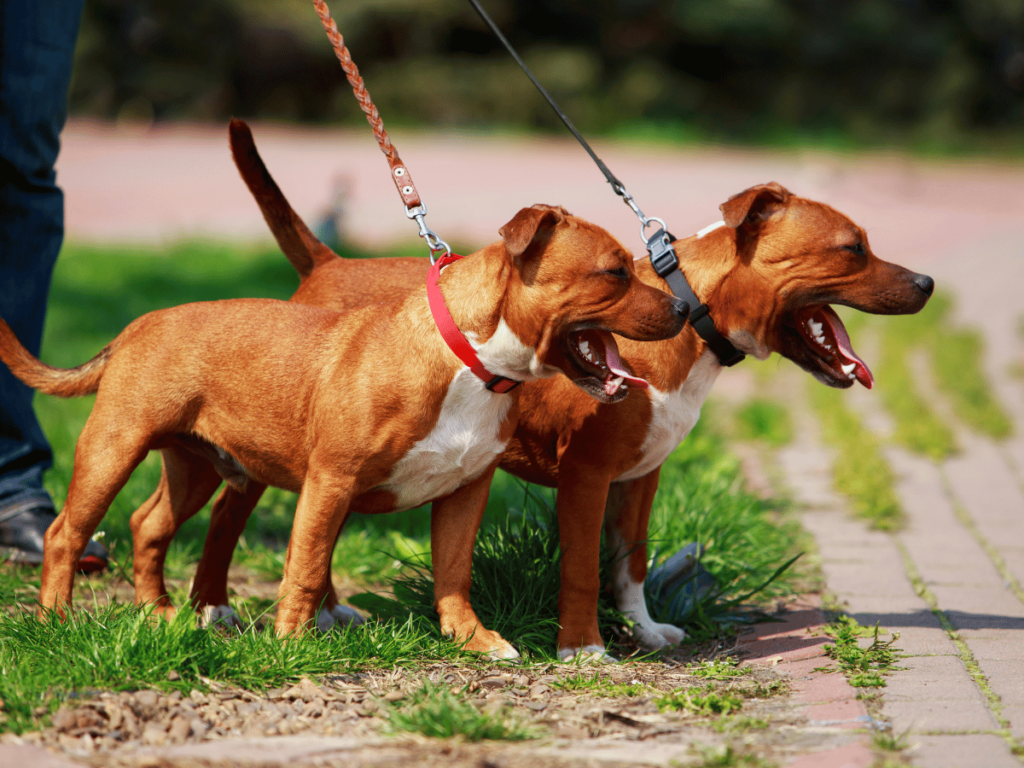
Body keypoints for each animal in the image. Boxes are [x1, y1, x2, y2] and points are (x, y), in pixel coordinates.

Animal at [0, 180, 692, 655]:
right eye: (614, 272)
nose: (684, 310)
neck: (468, 358)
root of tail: (134, 328)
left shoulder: (466, 490)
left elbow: (455, 573)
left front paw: (472, 639)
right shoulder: (330, 482)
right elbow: (306, 569)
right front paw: (290, 645)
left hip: (197, 465)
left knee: (149, 526)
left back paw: (162, 614)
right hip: (114, 448)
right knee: (66, 533)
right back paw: (57, 618)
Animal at [132, 121, 933, 663]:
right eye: (852, 249)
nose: (928, 282)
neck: (691, 314)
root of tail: (328, 263)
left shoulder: (640, 479)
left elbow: (630, 563)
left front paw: (644, 629)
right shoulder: (586, 478)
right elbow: (581, 570)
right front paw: (584, 648)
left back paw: (297, 611)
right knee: (235, 521)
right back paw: (218, 609)